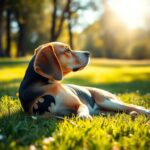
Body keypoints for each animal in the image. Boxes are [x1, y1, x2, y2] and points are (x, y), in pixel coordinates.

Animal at [18, 41, 150, 119]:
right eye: (67, 50)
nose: (88, 53)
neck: (44, 85)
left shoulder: (79, 104)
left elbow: (81, 109)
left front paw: (83, 116)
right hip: (105, 107)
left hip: (106, 100)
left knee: (131, 106)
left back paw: (144, 111)